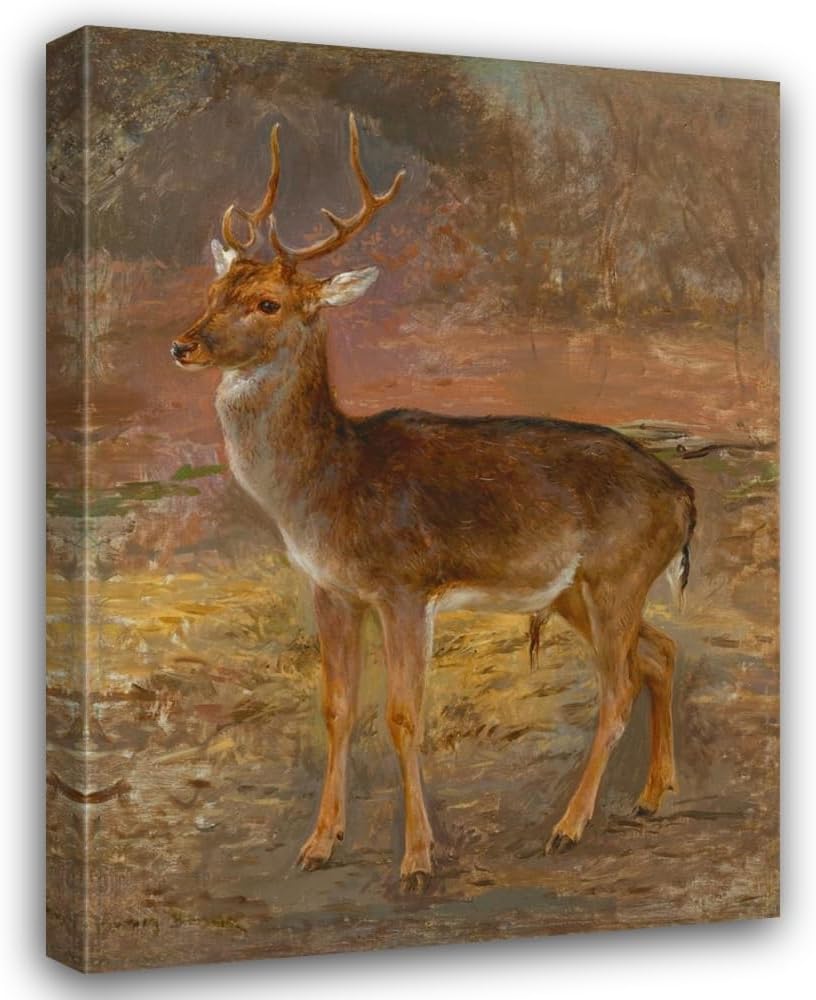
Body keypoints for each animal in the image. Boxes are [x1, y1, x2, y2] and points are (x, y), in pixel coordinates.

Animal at [171, 113, 696, 892]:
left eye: (267, 303)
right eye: (214, 291)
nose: (183, 345)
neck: (329, 484)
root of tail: (685, 496)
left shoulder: (405, 585)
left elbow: (402, 715)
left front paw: (417, 861)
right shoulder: (330, 587)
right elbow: (336, 708)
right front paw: (318, 843)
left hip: (618, 573)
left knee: (618, 687)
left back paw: (568, 826)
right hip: (577, 589)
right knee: (659, 653)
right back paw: (654, 795)